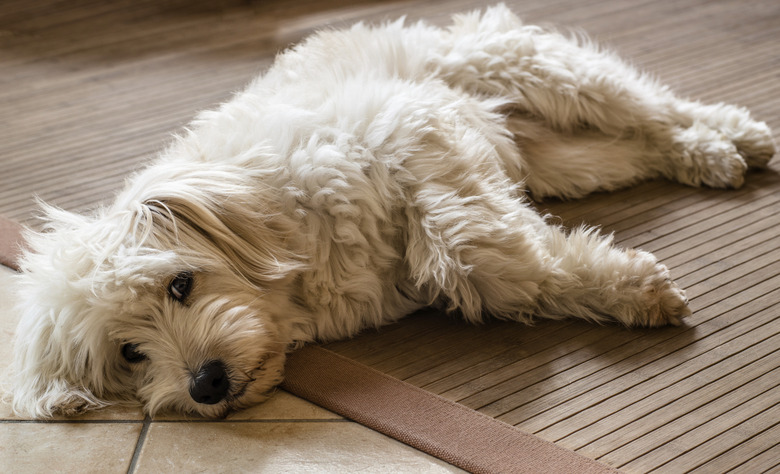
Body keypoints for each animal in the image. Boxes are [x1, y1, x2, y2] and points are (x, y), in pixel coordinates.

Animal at [10, 4, 772, 418]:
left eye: (180, 283)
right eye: (130, 353)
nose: (205, 384)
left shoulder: (411, 131)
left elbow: (466, 247)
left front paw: (621, 285)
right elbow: (504, 259)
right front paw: (604, 285)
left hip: (535, 72)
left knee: (655, 108)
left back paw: (732, 136)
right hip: (570, 160)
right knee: (641, 145)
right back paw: (711, 151)